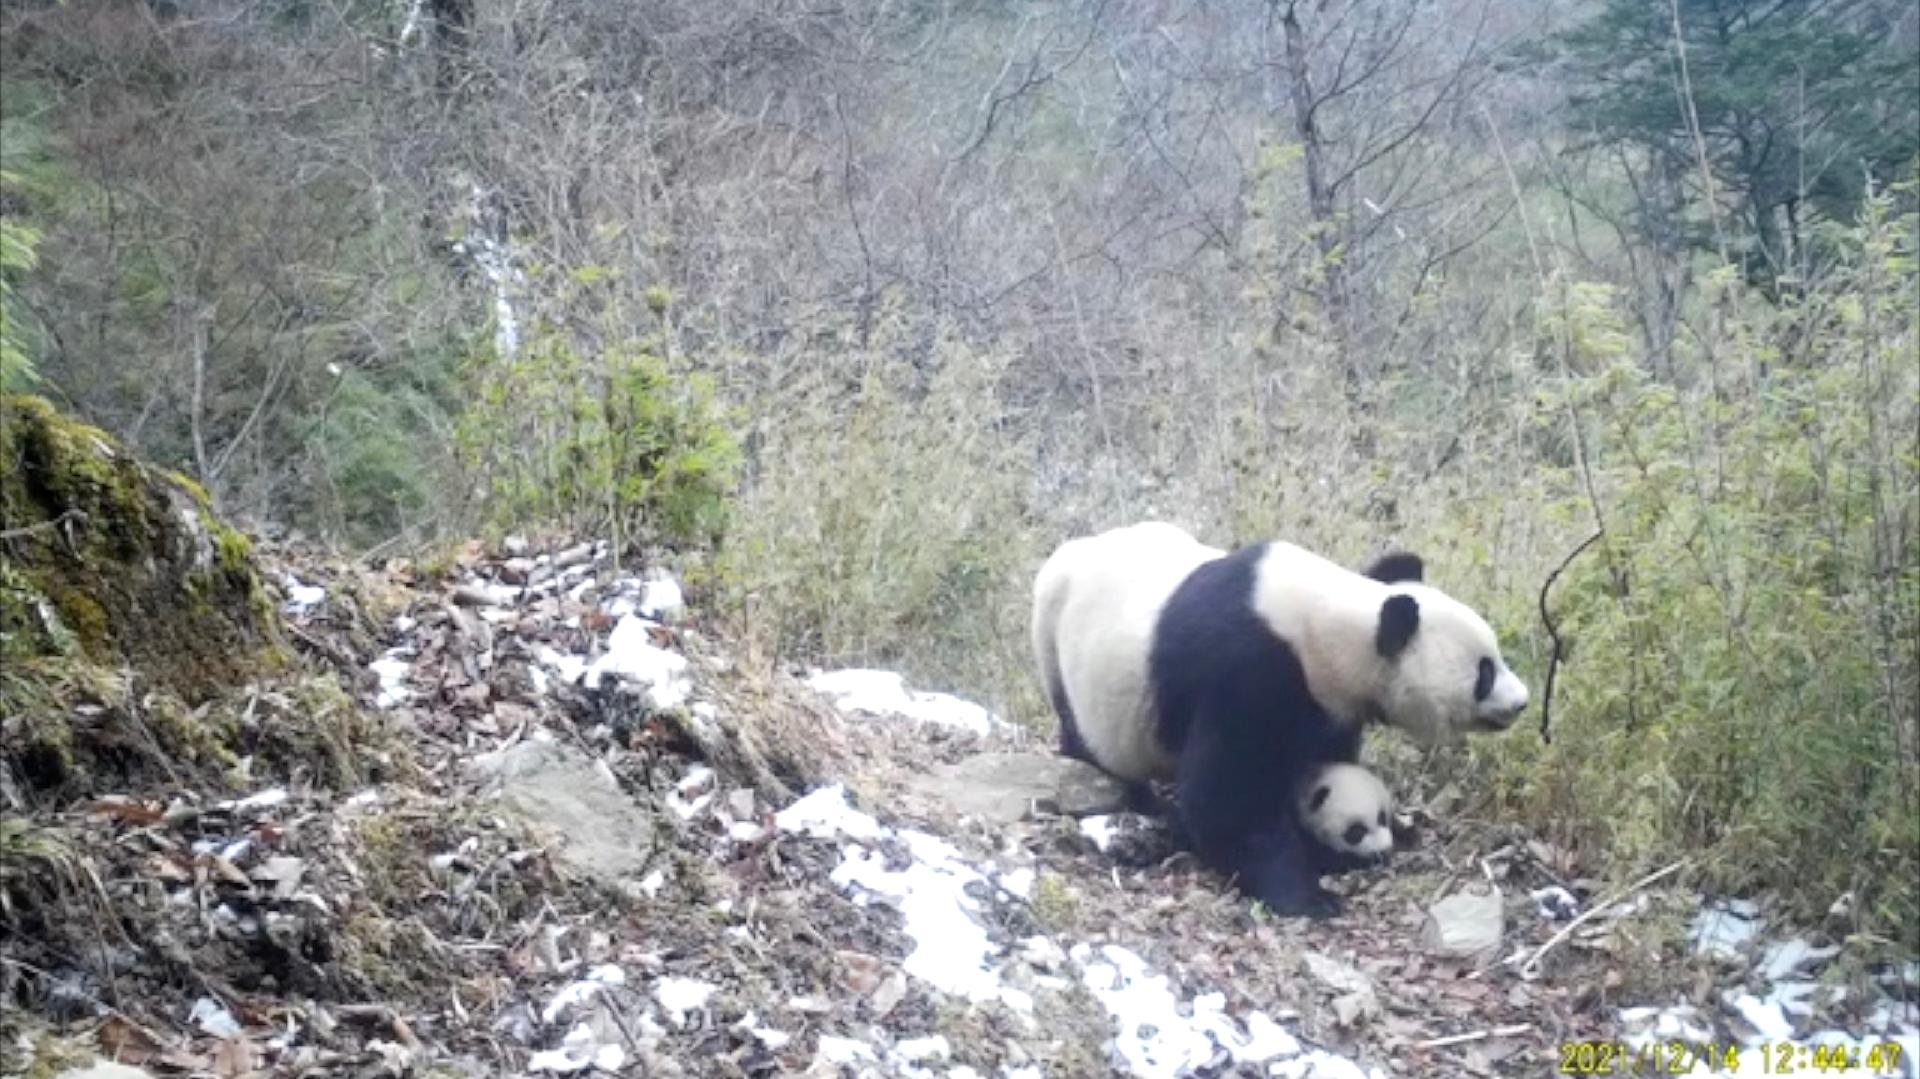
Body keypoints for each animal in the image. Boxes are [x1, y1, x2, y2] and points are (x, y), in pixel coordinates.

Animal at [1036, 518, 1528, 910]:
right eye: (1484, 672)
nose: (1522, 701)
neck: (1327, 621)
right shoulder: (1246, 670)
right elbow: (1226, 799)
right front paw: (1310, 895)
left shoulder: (1323, 702)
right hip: (1060, 647)